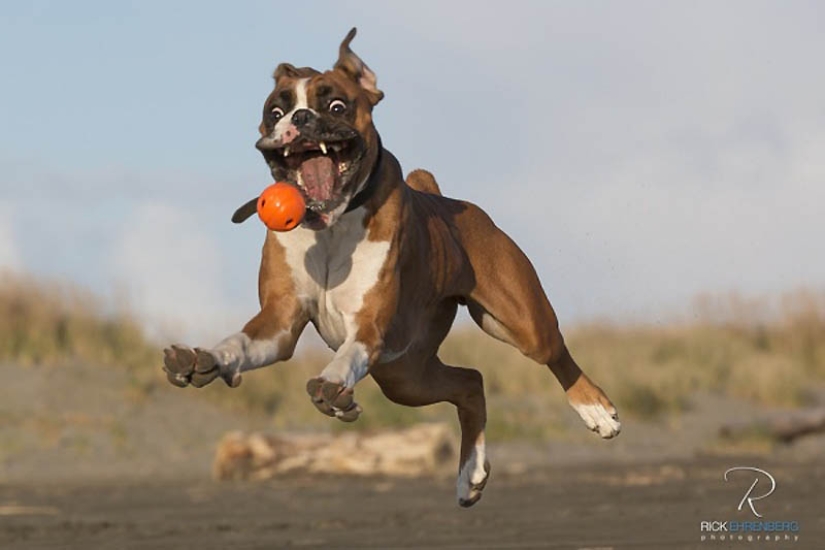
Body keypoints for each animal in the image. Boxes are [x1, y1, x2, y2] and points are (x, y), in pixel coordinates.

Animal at [164, 27, 620, 508]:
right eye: (276, 111)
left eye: (336, 106)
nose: (301, 119)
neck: (331, 225)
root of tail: (444, 197)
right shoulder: (280, 320)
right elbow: (240, 342)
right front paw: (205, 358)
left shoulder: (368, 327)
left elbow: (347, 356)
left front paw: (333, 385)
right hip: (406, 376)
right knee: (470, 382)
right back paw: (470, 473)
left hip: (518, 323)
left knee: (554, 353)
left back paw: (596, 410)